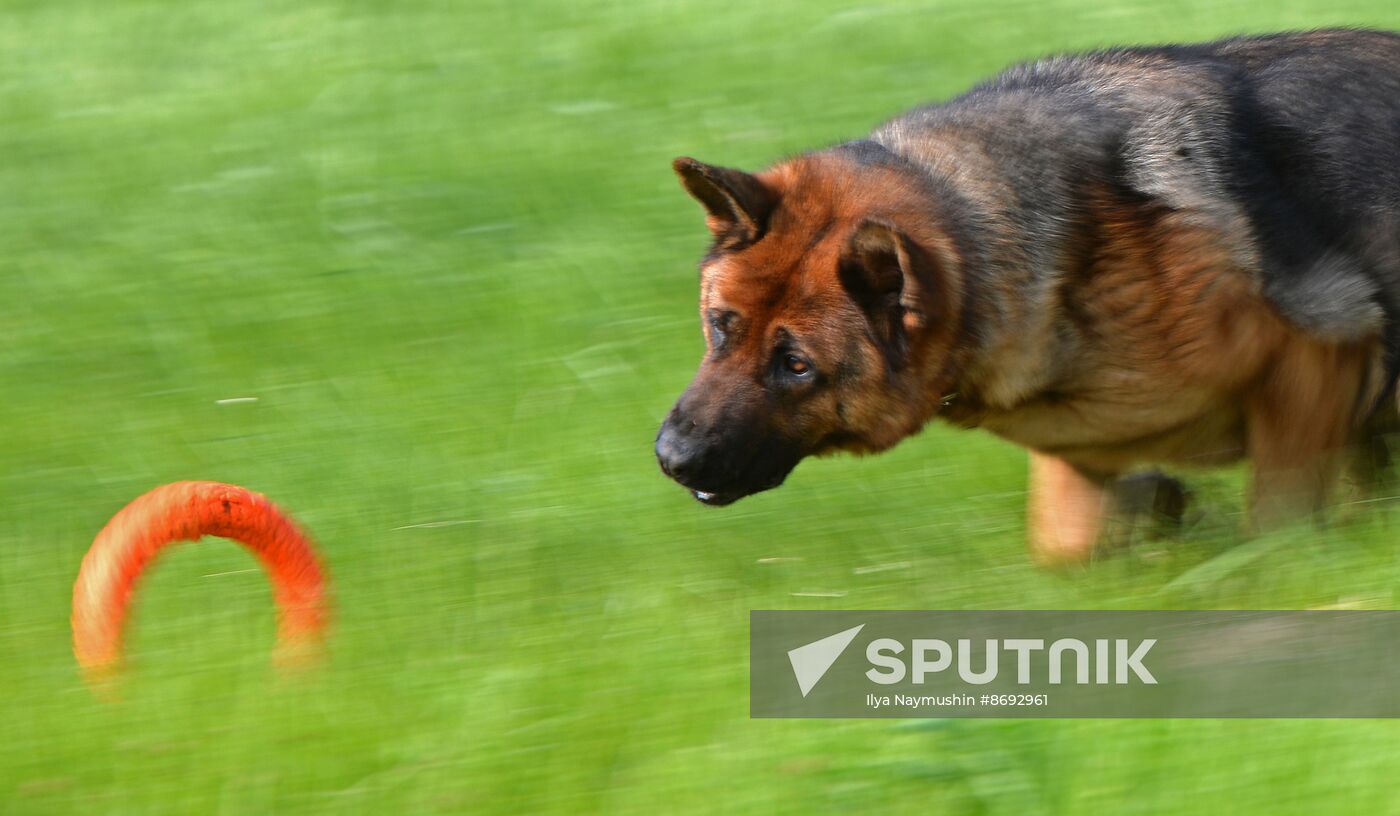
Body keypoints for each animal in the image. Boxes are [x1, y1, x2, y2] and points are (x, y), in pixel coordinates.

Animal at [652, 33, 1400, 568]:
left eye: (797, 365)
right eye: (721, 327)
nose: (670, 459)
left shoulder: (1316, 358)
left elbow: (1279, 526)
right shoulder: (1082, 450)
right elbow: (1063, 546)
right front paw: (1161, 513)